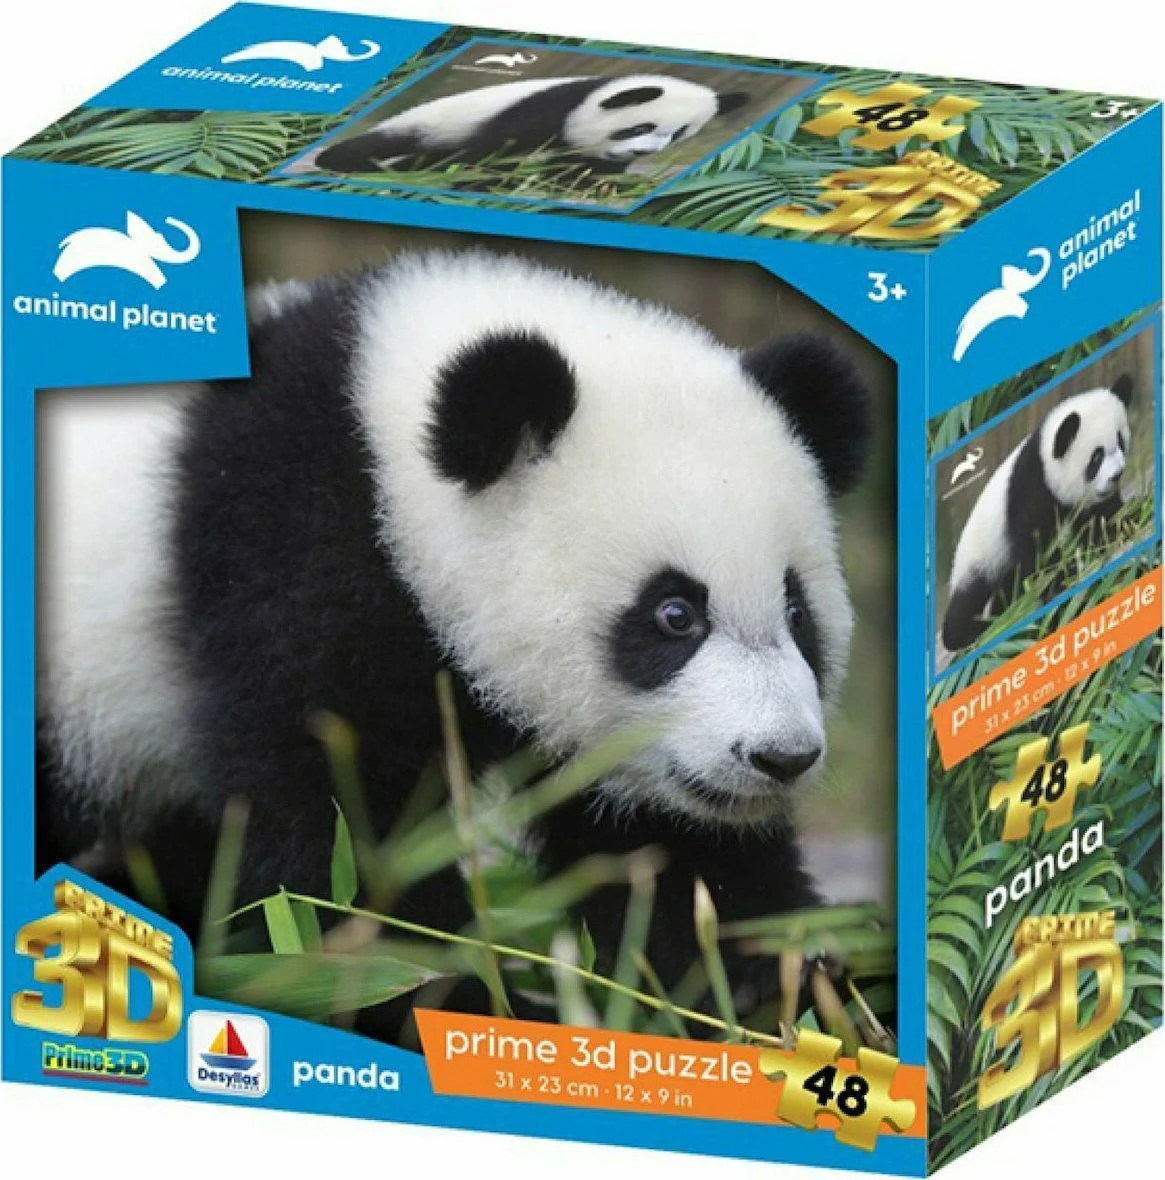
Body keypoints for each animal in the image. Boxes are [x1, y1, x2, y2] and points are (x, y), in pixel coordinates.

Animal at [37, 251, 871, 1022]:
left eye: (797, 612)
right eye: (674, 614)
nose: (780, 758)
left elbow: (667, 857)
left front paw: (777, 987)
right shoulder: (293, 553)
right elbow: (337, 829)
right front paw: (450, 999)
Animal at [941, 378, 1133, 652]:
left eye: (1120, 442)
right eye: (1096, 458)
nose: (1116, 475)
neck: (1044, 458)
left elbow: (1101, 518)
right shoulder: (1030, 491)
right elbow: (1036, 553)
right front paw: (1056, 582)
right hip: (979, 559)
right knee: (969, 600)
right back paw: (969, 632)